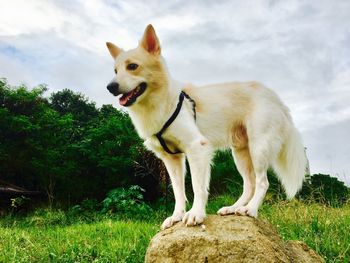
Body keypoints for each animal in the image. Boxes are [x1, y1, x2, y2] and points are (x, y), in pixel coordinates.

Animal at [105, 25, 304, 231]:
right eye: (115, 70)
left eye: (133, 66)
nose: (110, 87)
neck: (161, 102)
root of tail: (276, 99)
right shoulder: (171, 158)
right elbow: (178, 192)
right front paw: (176, 216)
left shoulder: (197, 148)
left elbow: (197, 186)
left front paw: (196, 214)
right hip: (240, 153)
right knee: (250, 184)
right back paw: (234, 208)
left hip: (259, 148)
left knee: (263, 182)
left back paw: (250, 209)